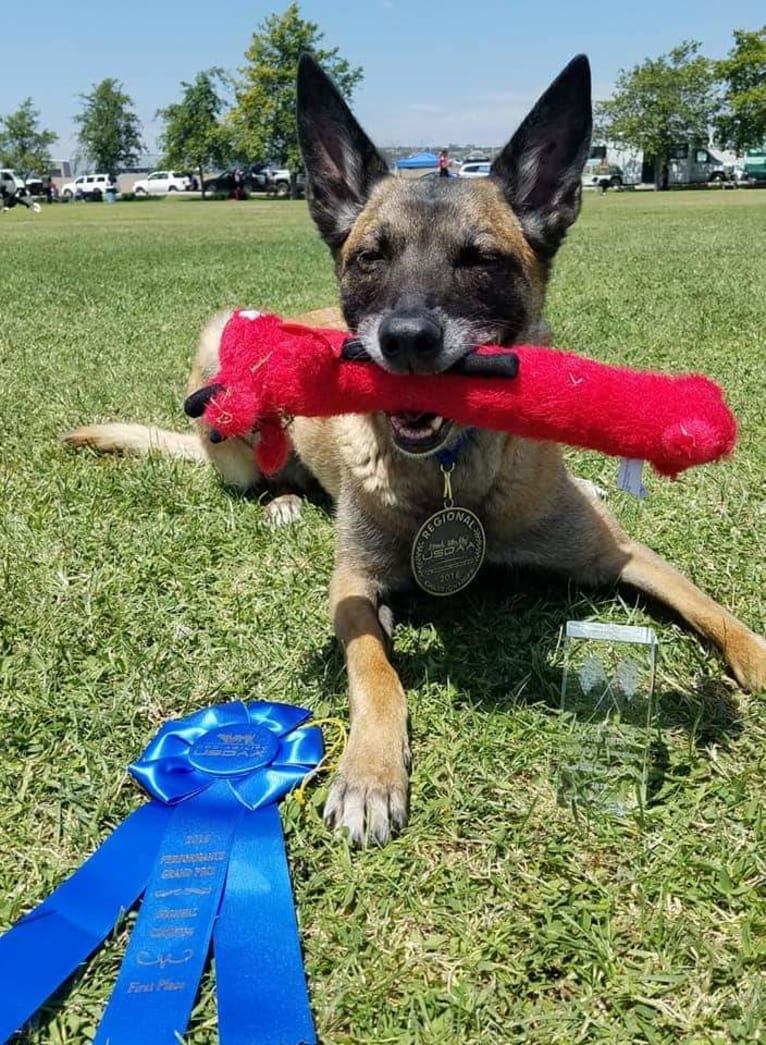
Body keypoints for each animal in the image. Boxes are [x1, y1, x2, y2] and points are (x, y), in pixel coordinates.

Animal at [64, 53, 764, 844]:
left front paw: (757, 657)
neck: (453, 478)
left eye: (480, 259)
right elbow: (375, 670)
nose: (403, 339)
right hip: (223, 368)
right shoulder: (350, 585)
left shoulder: (621, 555)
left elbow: (711, 606)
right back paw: (282, 501)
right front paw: (369, 772)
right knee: (264, 471)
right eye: (372, 256)